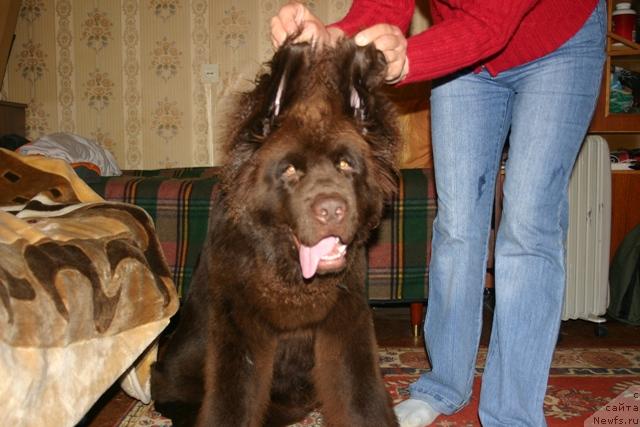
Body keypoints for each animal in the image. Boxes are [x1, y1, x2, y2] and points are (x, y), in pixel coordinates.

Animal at [151, 38, 400, 426]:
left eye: (346, 164)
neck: (290, 277)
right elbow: (232, 403)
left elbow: (362, 398)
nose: (332, 209)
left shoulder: (347, 322)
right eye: (290, 170)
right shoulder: (238, 329)